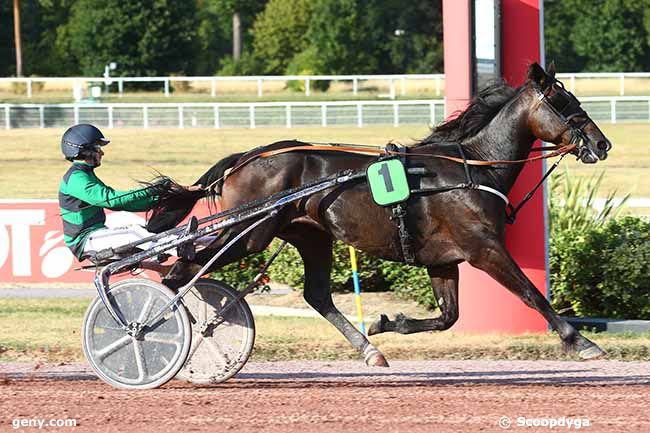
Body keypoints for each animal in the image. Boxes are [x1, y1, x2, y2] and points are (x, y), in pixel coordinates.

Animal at [147, 64, 608, 366]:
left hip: (311, 235)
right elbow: (532, 294)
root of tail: (246, 158)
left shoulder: (443, 259)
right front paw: (580, 340)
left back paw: (370, 350)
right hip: (249, 233)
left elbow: (449, 317)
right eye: (563, 102)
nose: (602, 144)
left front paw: (387, 322)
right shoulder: (483, 249)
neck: (472, 166)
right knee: (184, 267)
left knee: (316, 294)